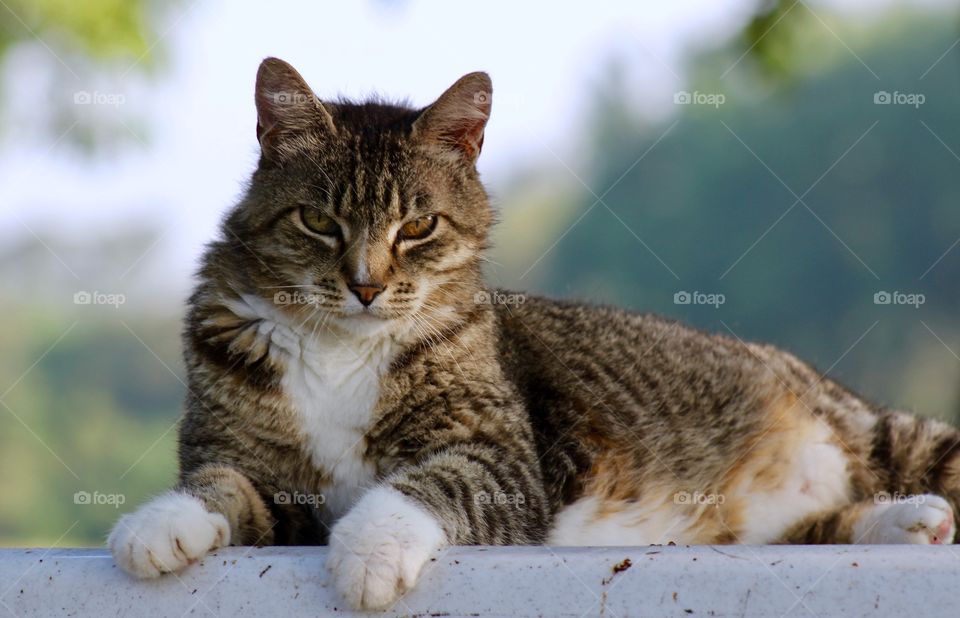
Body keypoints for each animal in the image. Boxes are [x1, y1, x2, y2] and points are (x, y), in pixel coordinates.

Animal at [107, 56, 960, 608]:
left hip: (895, 437)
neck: (341, 347)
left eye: (418, 226)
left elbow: (430, 483)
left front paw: (370, 553)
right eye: (319, 221)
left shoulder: (505, 455)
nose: (366, 285)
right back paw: (907, 522)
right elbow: (224, 485)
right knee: (820, 528)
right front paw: (161, 523)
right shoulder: (264, 477)